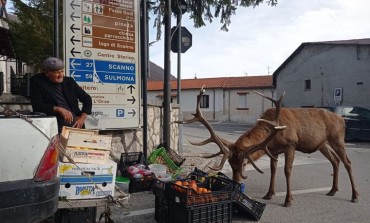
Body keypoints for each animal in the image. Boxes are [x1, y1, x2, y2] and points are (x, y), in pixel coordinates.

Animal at [179, 86, 358, 207]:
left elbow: (287, 171)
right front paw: (269, 194)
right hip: (322, 144)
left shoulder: (291, 145)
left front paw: (288, 200)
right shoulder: (272, 150)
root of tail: (341, 120)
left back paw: (355, 196)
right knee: (335, 161)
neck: (273, 134)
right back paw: (333, 190)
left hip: (337, 139)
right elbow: (273, 170)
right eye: (230, 163)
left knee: (348, 162)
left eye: (244, 164)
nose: (236, 184)